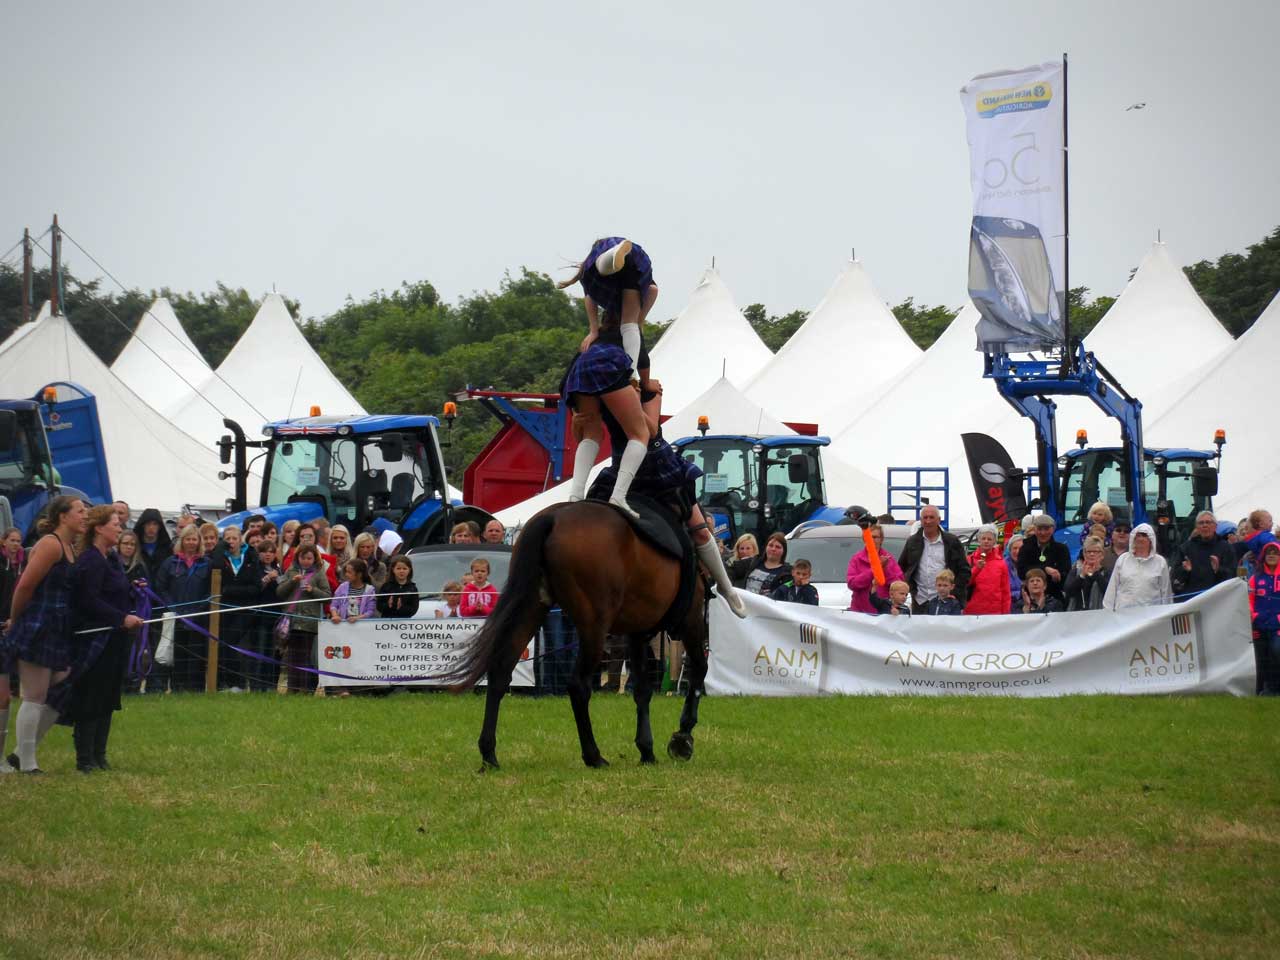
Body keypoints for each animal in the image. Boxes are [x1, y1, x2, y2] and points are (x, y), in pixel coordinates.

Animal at [448, 499, 711, 773]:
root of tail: (554, 517)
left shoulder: (638, 631)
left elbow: (642, 690)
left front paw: (646, 749)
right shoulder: (691, 619)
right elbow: (698, 669)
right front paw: (682, 737)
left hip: (531, 607)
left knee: (500, 672)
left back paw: (489, 754)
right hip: (594, 627)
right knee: (578, 686)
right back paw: (593, 755)